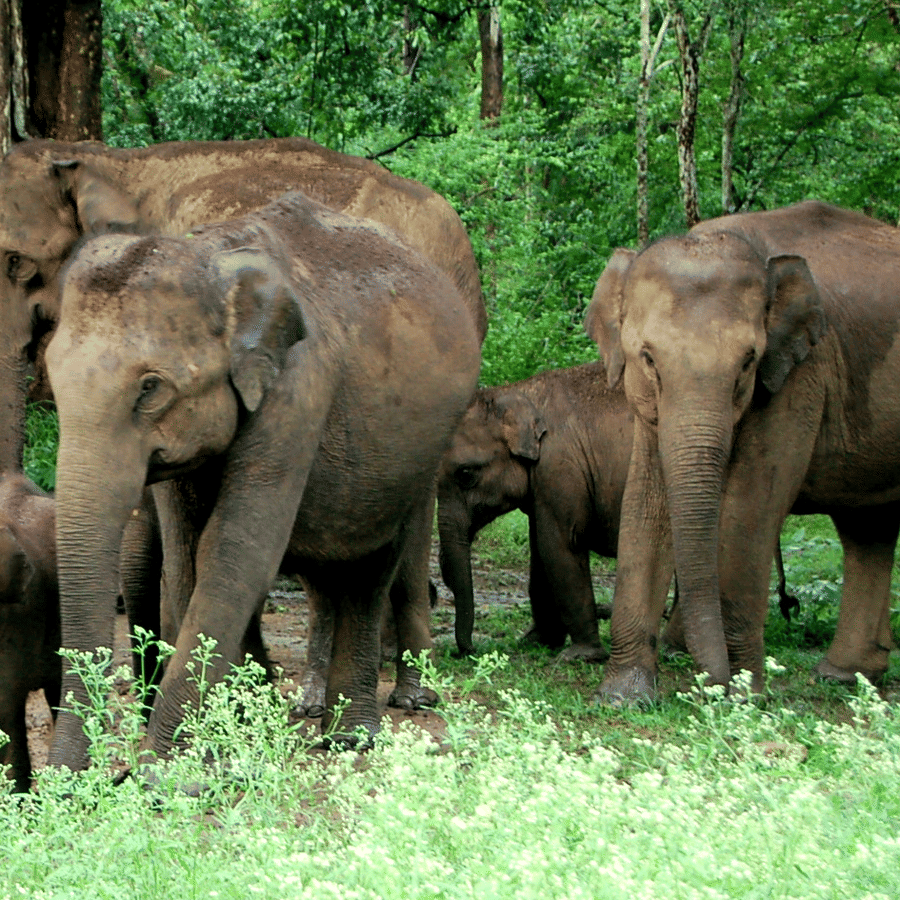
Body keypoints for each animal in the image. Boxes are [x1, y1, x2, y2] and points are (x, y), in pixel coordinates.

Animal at [437, 361, 632, 659]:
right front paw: (536, 641)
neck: (518, 392)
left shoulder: (560, 468)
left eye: (466, 474)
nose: (471, 650)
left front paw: (580, 655)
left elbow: (559, 546)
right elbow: (539, 552)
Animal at [585, 199, 900, 703]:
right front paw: (623, 695)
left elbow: (752, 505)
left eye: (748, 361)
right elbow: (646, 503)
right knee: (868, 526)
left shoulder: (801, 376)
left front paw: (744, 695)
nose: (708, 683)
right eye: (648, 359)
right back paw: (843, 675)